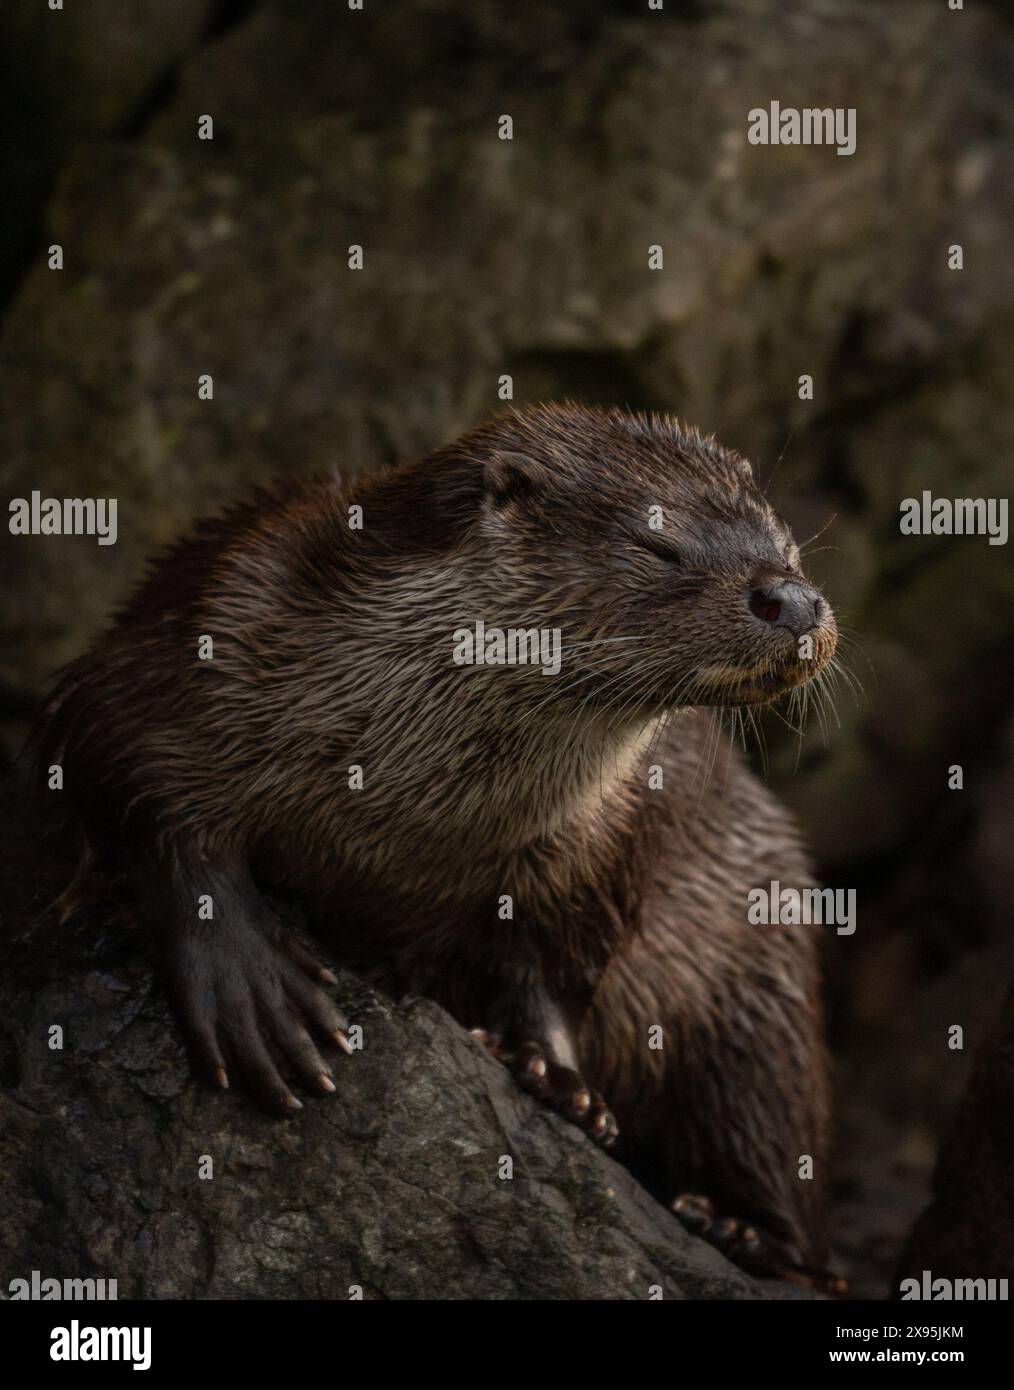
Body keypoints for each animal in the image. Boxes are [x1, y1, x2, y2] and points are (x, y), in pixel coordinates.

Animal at [33, 405, 840, 1284]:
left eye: (786, 543)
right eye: (658, 545)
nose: (792, 597)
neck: (404, 807)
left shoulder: (609, 836)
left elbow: (559, 958)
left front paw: (555, 1074)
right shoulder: (207, 624)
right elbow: (135, 772)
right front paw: (247, 980)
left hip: (759, 985)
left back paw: (736, 1226)